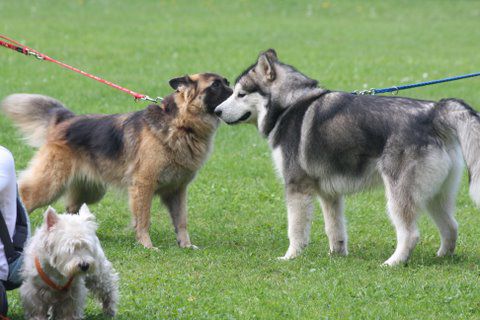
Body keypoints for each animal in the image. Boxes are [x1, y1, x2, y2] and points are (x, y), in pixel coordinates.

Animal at [0, 74, 232, 249]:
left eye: (227, 82)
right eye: (216, 85)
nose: (237, 93)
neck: (181, 124)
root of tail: (65, 120)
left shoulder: (177, 190)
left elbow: (182, 221)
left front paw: (186, 245)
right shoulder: (144, 185)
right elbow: (144, 219)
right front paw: (147, 245)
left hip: (91, 191)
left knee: (70, 208)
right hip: (51, 183)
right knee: (24, 195)